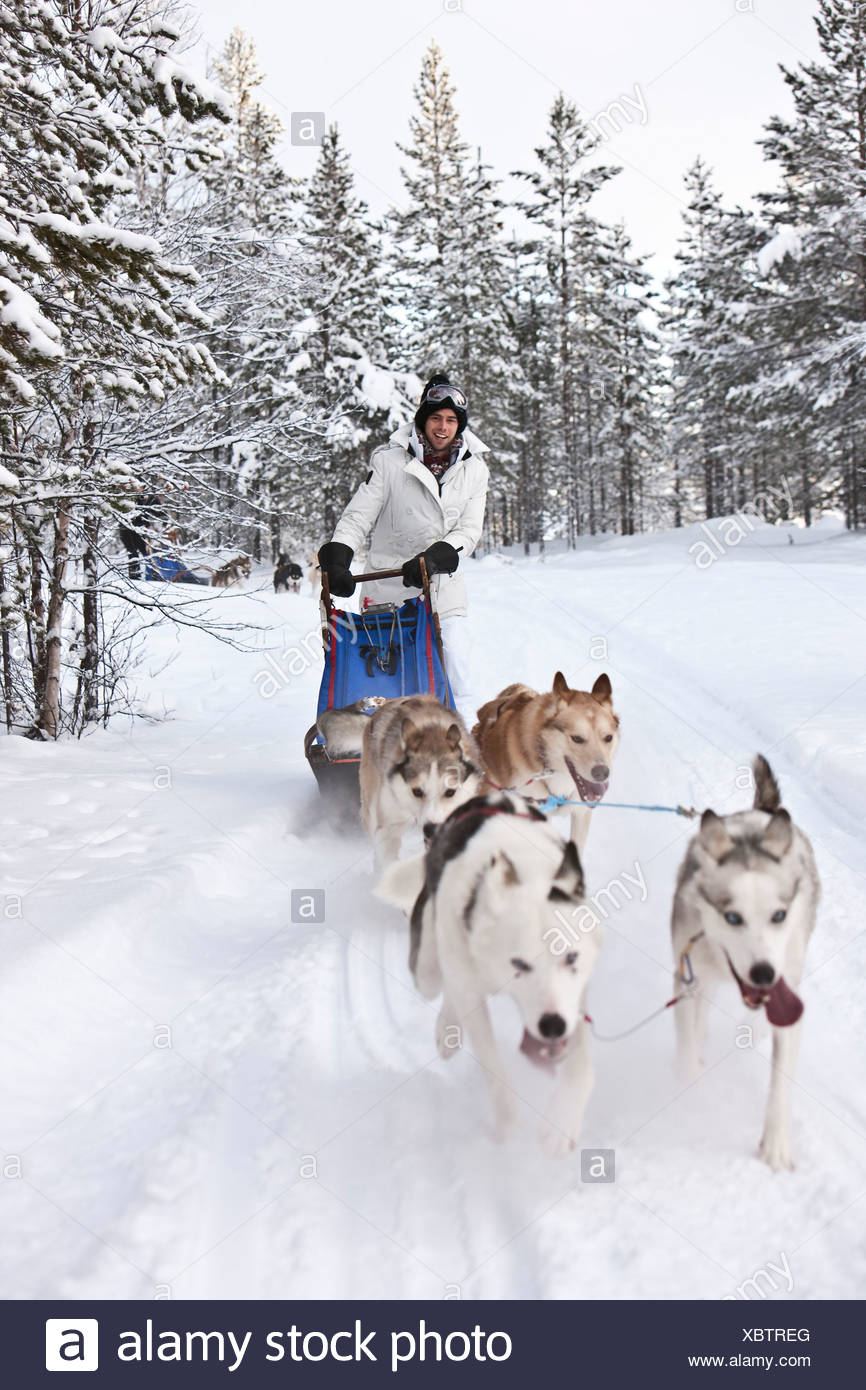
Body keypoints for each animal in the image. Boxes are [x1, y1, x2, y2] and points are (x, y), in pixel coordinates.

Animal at [378, 789, 603, 1156]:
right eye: (519, 964)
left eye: (571, 957)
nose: (552, 1026)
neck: (526, 874)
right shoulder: (469, 989)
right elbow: (495, 1073)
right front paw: (509, 1137)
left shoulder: (575, 997)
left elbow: (581, 1063)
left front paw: (563, 1118)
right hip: (428, 967)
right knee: (440, 980)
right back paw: (447, 1026)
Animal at [670, 756, 817, 1167]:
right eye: (733, 917)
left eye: (778, 915)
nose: (763, 973)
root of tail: (764, 812)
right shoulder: (686, 974)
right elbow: (687, 1039)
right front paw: (689, 1090)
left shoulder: (787, 998)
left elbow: (780, 1083)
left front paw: (776, 1145)